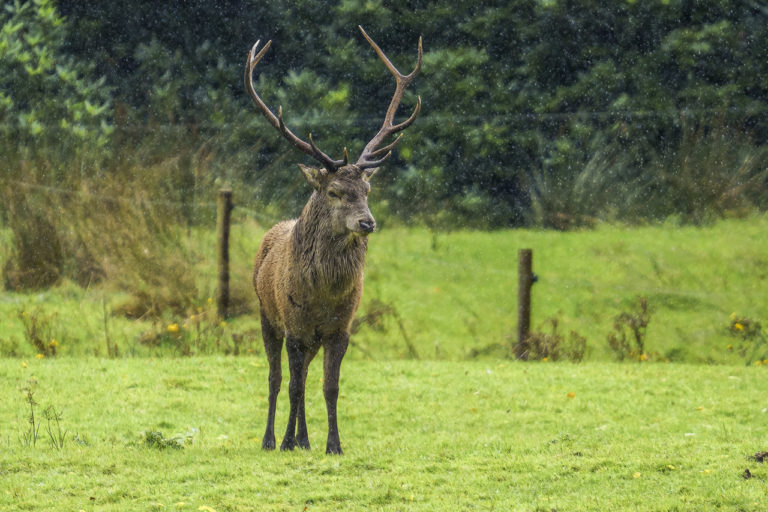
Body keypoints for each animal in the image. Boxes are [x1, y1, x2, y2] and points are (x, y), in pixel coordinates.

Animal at [245, 26, 422, 454]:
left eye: (367, 190)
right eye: (335, 192)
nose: (367, 222)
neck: (322, 296)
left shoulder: (340, 329)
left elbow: (330, 387)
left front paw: (332, 445)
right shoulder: (294, 327)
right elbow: (293, 387)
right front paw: (291, 442)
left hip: (311, 338)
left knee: (306, 378)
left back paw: (299, 438)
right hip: (267, 316)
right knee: (277, 380)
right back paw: (272, 438)